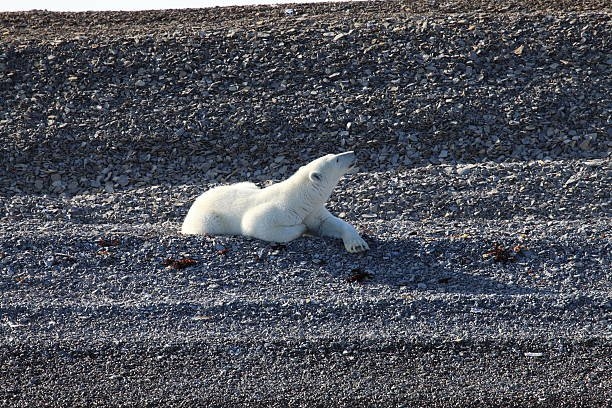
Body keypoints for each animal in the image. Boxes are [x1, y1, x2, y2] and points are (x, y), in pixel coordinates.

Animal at [180, 150, 368, 252]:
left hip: (246, 184)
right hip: (207, 220)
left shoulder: (312, 210)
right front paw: (302, 228)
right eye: (336, 159)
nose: (353, 153)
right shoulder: (280, 209)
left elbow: (328, 222)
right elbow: (255, 224)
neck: (301, 198)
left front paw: (356, 244)